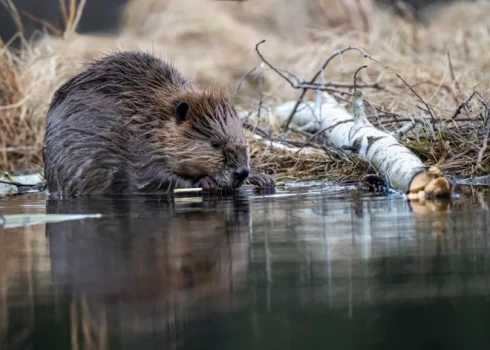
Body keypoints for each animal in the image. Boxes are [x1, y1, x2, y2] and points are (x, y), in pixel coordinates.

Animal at [42, 50, 274, 196]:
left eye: (244, 139)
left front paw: (263, 178)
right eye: (214, 143)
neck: (147, 120)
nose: (241, 172)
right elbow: (151, 179)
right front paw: (204, 182)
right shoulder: (138, 151)